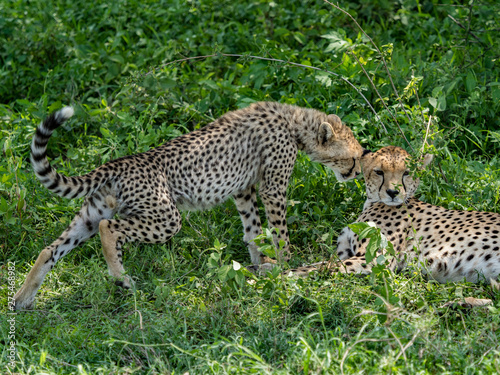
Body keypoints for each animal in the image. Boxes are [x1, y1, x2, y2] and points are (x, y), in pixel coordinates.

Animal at [13, 101, 366, 310]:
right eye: (352, 158)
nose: (357, 173)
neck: (294, 122)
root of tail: (118, 162)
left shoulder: (244, 190)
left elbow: (252, 231)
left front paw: (260, 266)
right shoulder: (272, 188)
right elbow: (279, 232)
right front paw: (283, 266)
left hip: (91, 214)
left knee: (50, 249)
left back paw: (22, 299)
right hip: (165, 217)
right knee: (108, 228)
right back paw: (121, 278)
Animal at [290, 145, 500, 284]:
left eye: (406, 173)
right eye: (379, 172)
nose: (393, 192)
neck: (373, 202)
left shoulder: (374, 261)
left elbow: (312, 268)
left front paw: (283, 277)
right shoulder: (345, 254)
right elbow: (318, 263)